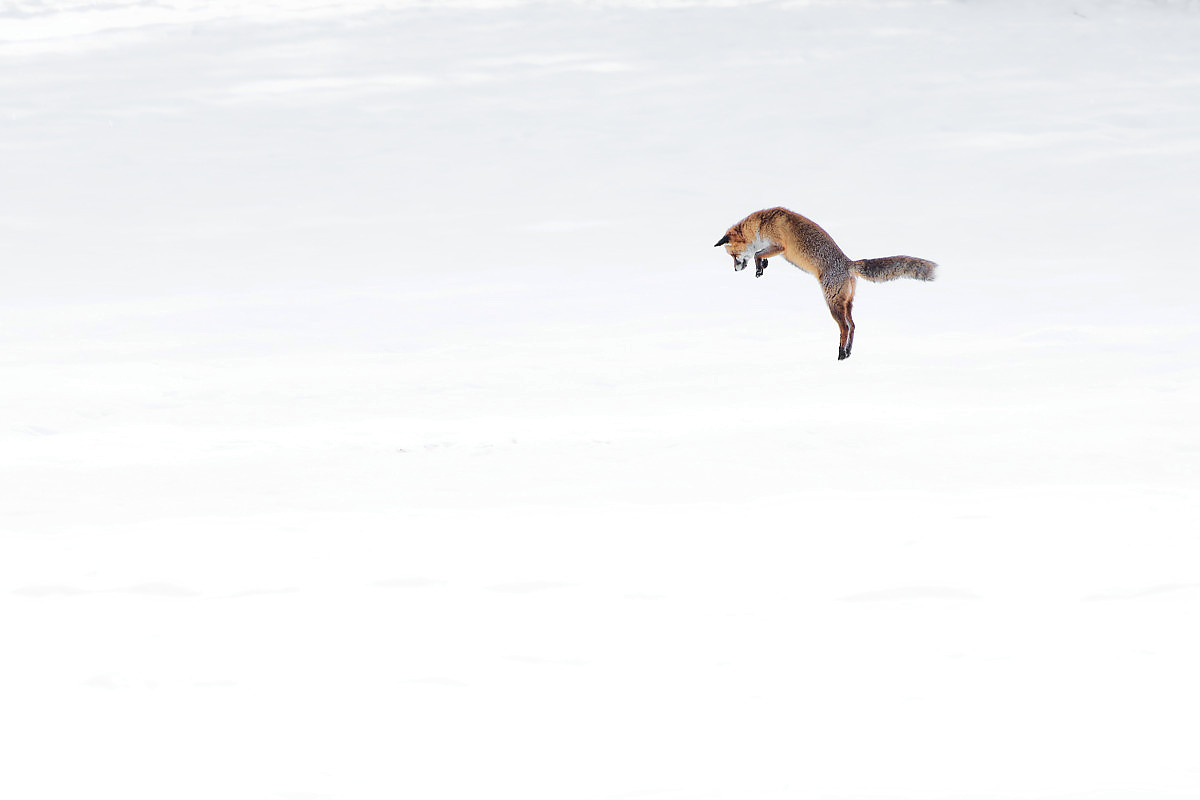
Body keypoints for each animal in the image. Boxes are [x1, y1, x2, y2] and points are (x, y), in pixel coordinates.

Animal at [715, 207, 936, 360]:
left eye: (733, 256)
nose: (735, 270)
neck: (761, 225)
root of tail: (848, 264)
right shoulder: (774, 248)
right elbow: (760, 255)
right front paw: (763, 266)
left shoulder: (779, 245)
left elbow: (757, 254)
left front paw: (759, 268)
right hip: (847, 304)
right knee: (853, 326)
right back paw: (848, 352)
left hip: (833, 303)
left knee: (845, 328)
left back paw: (840, 353)